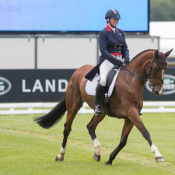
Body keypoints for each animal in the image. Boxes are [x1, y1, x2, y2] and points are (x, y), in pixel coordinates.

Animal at [33, 48, 172, 165]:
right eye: (155, 69)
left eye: (166, 68)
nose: (159, 91)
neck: (131, 79)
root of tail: (78, 70)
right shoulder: (131, 112)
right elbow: (145, 132)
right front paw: (158, 155)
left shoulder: (130, 116)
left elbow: (123, 140)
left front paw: (110, 159)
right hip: (73, 105)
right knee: (67, 128)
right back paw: (60, 156)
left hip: (102, 112)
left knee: (90, 126)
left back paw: (97, 153)